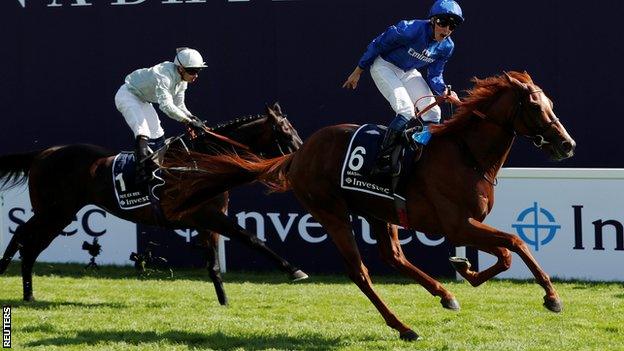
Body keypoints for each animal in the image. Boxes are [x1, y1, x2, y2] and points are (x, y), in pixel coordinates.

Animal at [0, 103, 308, 304]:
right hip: (54, 211)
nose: (302, 159)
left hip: (59, 213)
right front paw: (295, 270)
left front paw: (224, 303)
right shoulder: (209, 216)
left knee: (30, 244)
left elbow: (214, 266)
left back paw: (28, 294)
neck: (201, 164)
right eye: (285, 133)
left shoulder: (207, 220)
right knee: (23, 235)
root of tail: (43, 153)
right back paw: (7, 273)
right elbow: (252, 239)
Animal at [165, 72, 576, 340]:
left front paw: (464, 269)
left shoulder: (467, 225)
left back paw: (444, 295)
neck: (466, 155)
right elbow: (515, 244)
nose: (567, 144)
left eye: (552, 104)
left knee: (393, 256)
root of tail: (298, 154)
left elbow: (506, 253)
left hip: (380, 213)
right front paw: (552, 297)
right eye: (536, 107)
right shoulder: (457, 224)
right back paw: (404, 327)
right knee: (360, 272)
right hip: (330, 212)